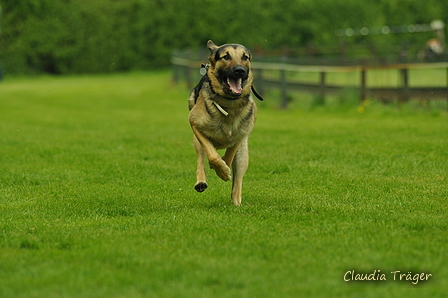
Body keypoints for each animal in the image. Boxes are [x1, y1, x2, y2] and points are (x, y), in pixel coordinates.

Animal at [188, 40, 262, 206]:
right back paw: (201, 181)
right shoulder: (195, 125)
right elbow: (212, 155)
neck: (229, 102)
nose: (240, 70)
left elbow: (229, 156)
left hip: (243, 154)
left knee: (238, 180)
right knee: (201, 159)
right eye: (226, 56)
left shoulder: (240, 135)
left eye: (245, 57)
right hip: (196, 142)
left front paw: (223, 170)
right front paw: (220, 169)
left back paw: (236, 202)